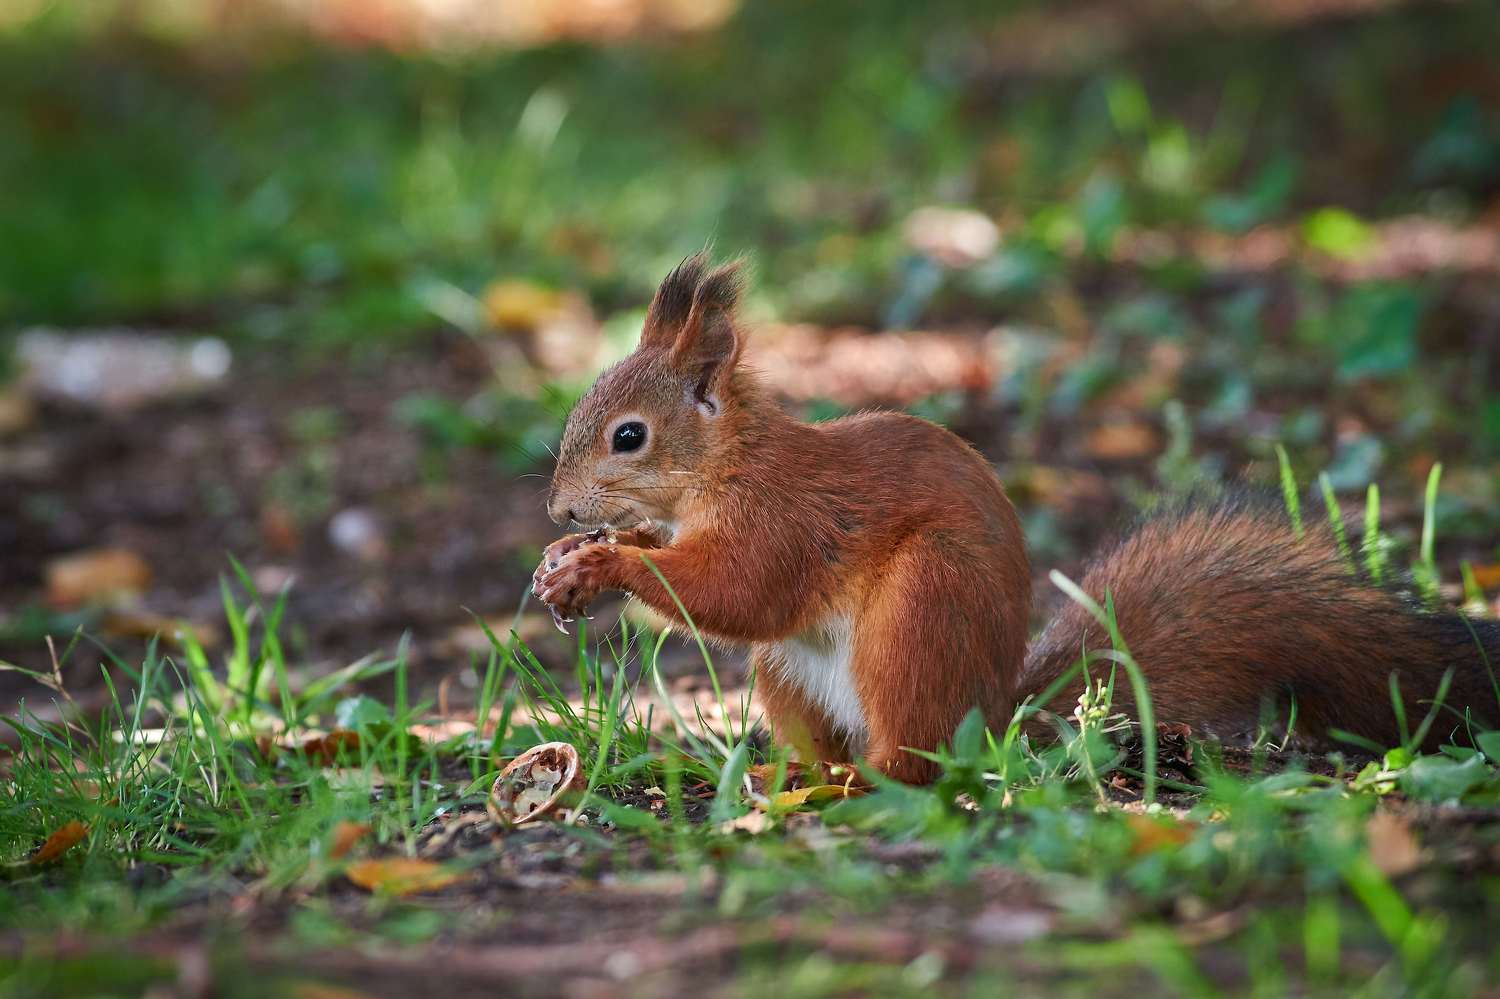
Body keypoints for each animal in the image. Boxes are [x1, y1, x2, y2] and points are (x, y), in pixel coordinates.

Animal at [532, 254, 1499, 783]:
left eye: (628, 436)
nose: (558, 506)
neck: (726, 463)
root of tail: (994, 714)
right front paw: (570, 556)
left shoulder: (784, 518)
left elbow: (739, 590)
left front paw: (603, 564)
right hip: (794, 674)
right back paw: (795, 773)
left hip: (921, 613)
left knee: (917, 761)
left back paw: (862, 781)